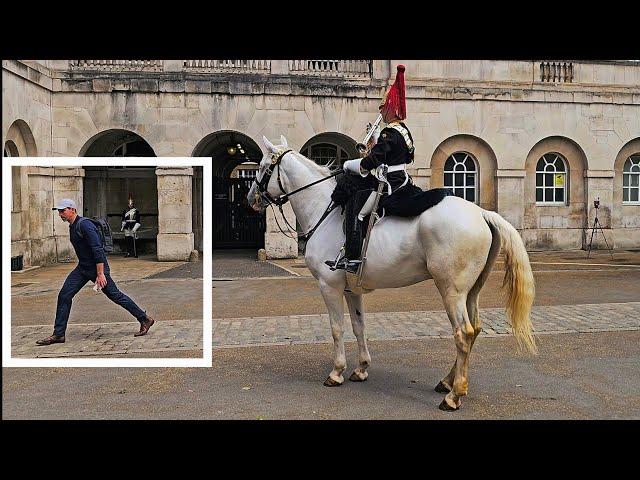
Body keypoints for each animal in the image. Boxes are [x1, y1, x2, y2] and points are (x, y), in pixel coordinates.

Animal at [248, 134, 536, 408]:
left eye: (262, 167)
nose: (250, 199)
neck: (324, 210)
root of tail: (482, 213)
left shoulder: (329, 286)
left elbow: (337, 328)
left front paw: (336, 372)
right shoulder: (352, 289)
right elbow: (359, 325)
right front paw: (361, 369)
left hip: (451, 291)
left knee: (463, 333)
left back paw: (454, 396)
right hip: (471, 291)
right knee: (474, 329)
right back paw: (447, 381)